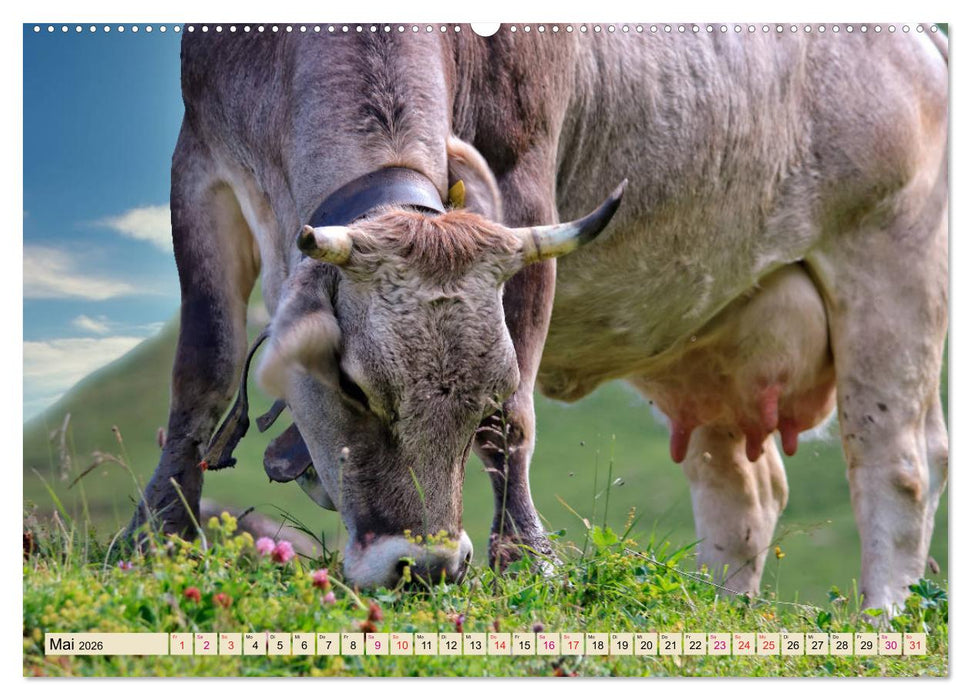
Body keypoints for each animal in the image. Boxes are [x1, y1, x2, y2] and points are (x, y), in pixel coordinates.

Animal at [129, 24, 947, 611]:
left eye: (482, 395)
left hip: (895, 265)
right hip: (716, 344)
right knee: (747, 491)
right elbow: (203, 365)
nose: (424, 566)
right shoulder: (197, 163)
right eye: (354, 387)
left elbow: (517, 419)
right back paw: (725, 610)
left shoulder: (525, 185)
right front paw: (155, 538)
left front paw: (525, 560)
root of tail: (921, 42)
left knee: (899, 464)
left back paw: (882, 619)